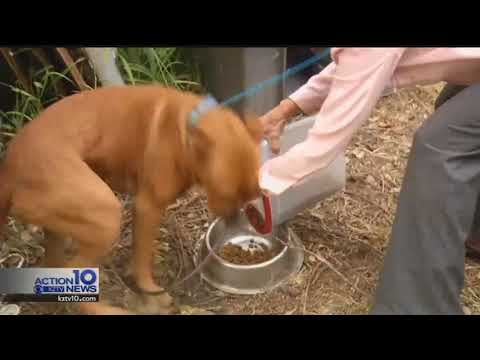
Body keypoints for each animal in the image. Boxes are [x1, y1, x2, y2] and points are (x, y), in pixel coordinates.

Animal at [0, 85, 262, 316]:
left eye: (251, 194)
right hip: (106, 215)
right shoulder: (147, 207)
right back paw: (106, 310)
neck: (185, 129)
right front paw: (148, 288)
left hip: (60, 223)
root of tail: (9, 168)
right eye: (225, 194)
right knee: (71, 269)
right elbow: (143, 258)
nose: (234, 221)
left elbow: (141, 251)